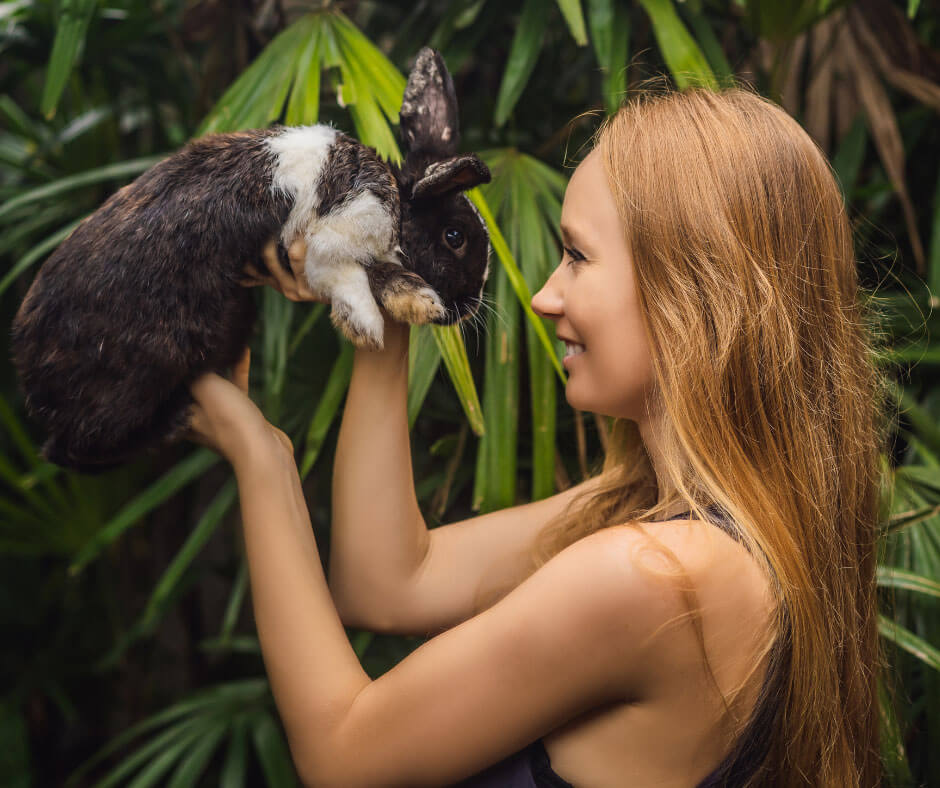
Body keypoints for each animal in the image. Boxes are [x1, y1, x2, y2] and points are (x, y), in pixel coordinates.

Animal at [11, 47, 492, 474]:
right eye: (455, 237)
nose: (468, 308)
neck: (395, 197)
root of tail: (26, 367)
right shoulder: (326, 239)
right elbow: (356, 274)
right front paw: (371, 325)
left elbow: (379, 271)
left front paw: (413, 302)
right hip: (130, 384)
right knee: (67, 449)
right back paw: (173, 421)